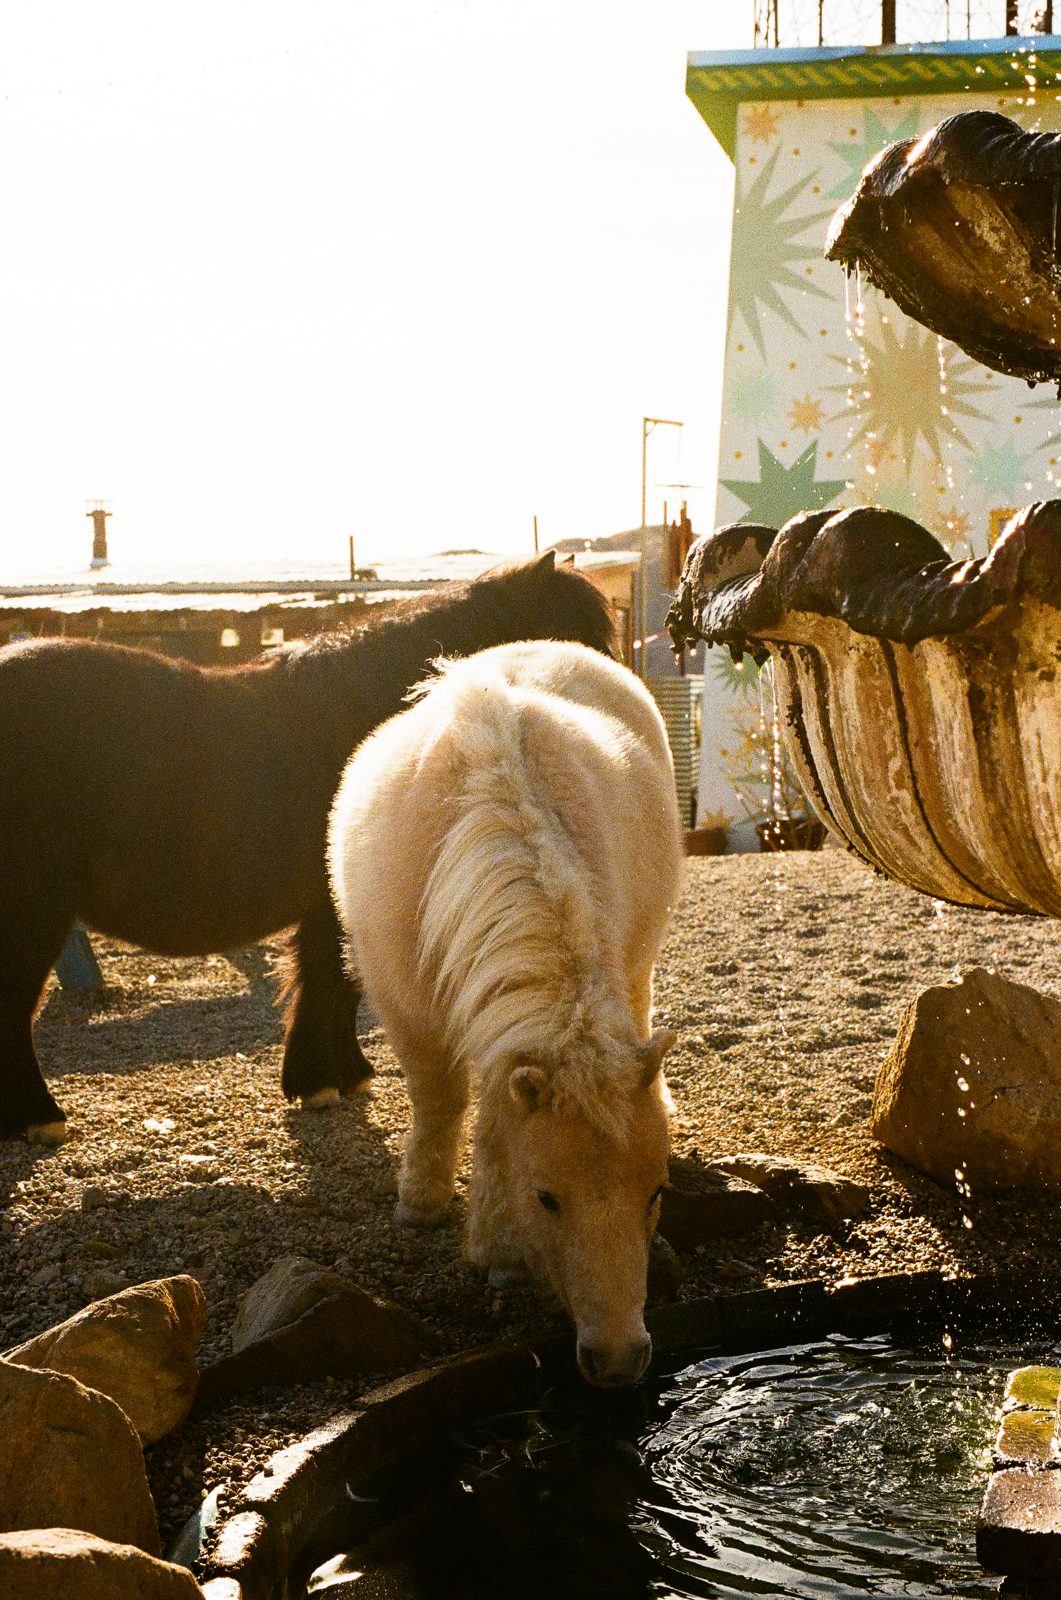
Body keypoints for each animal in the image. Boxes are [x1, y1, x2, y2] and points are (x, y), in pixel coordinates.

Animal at [0, 554, 615, 1144]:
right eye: (566, 641)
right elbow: (327, 982)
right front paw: (321, 1083)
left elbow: (337, 983)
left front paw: (342, 1077)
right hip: (34, 909)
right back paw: (38, 1119)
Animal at [327, 640, 683, 1387]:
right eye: (546, 1197)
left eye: (656, 1191)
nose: (619, 1360)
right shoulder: (406, 1010)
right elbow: (441, 1097)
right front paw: (427, 1205)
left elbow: (494, 1116)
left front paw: (497, 1251)